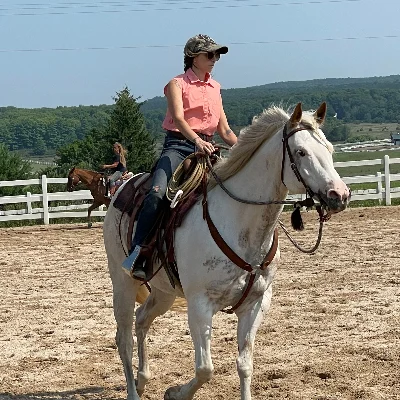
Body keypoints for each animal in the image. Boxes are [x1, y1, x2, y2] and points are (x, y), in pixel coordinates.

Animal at [103, 103, 350, 400]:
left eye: (330, 149)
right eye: (301, 151)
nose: (339, 195)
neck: (239, 223)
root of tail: (123, 187)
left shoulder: (256, 303)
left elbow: (244, 364)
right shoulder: (199, 305)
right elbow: (204, 369)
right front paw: (175, 393)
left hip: (164, 292)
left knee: (141, 320)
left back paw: (142, 379)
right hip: (123, 283)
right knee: (124, 338)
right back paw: (133, 390)